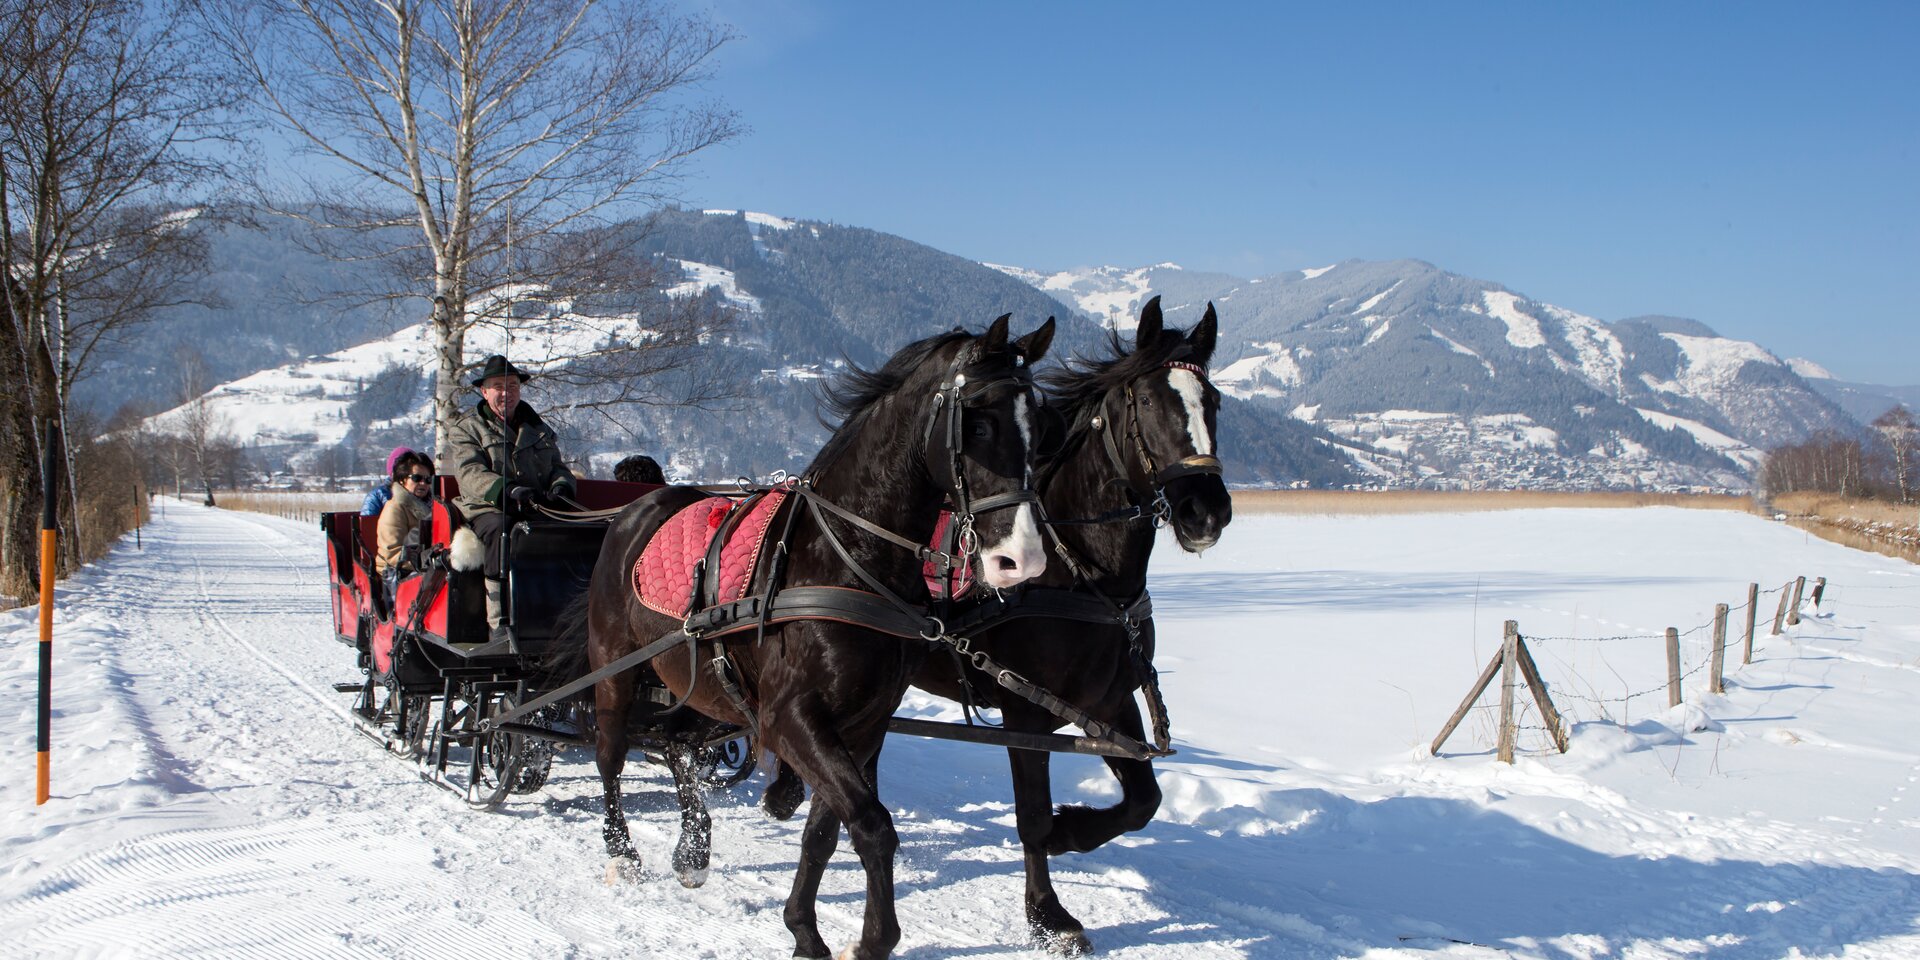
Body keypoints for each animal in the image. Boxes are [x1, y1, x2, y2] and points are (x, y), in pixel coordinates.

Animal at [583, 316, 1067, 960]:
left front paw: (804, 930)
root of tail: (636, 510)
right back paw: (622, 852)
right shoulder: (791, 718)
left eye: (1040, 429)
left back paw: (693, 850)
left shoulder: (864, 723)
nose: (1023, 559)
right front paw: (873, 939)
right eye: (978, 421)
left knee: (677, 743)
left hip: (705, 686)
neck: (846, 558)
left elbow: (825, 831)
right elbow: (873, 825)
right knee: (610, 754)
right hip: (616, 669)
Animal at [910, 297, 1228, 952]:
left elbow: (1144, 800)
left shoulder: (1109, 702)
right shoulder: (1025, 712)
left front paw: (1072, 831)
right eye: (1149, 402)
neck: (1083, 575)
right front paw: (1046, 915)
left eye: (1213, 400)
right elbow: (1031, 814)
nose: (1206, 511)